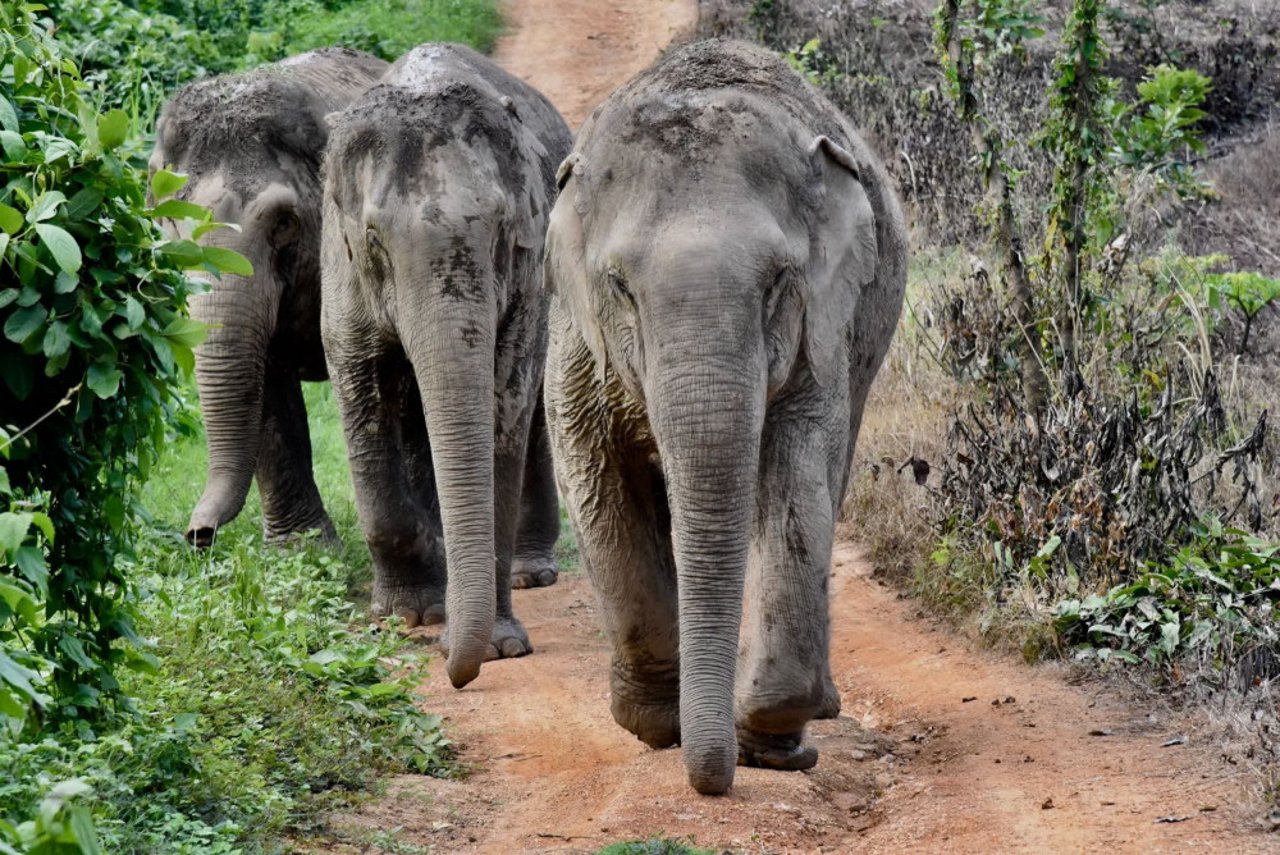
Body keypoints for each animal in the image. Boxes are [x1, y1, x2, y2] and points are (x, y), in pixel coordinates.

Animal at [322, 45, 573, 686]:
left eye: (504, 233)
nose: (454, 670)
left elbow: (505, 404)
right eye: (373, 241)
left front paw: (500, 648)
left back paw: (530, 573)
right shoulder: (339, 270)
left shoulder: (529, 274)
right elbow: (360, 381)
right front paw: (410, 614)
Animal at [542, 39, 911, 793]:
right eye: (620, 287)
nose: (713, 780)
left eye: (776, 283)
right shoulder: (577, 337)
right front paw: (660, 725)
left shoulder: (821, 326)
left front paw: (772, 743)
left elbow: (796, 471)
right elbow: (592, 473)